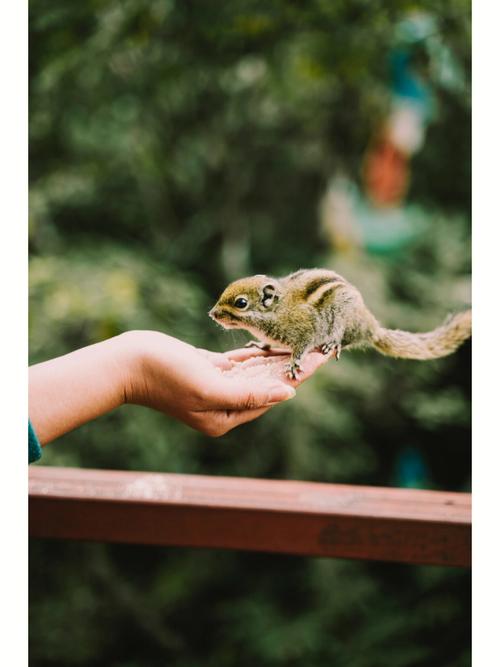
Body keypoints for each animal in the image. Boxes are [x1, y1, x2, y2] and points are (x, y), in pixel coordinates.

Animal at [208, 268, 472, 380]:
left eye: (241, 303)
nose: (211, 314)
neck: (277, 310)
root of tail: (371, 326)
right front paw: (261, 345)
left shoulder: (305, 330)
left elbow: (301, 347)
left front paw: (293, 363)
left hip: (343, 320)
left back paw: (333, 343)